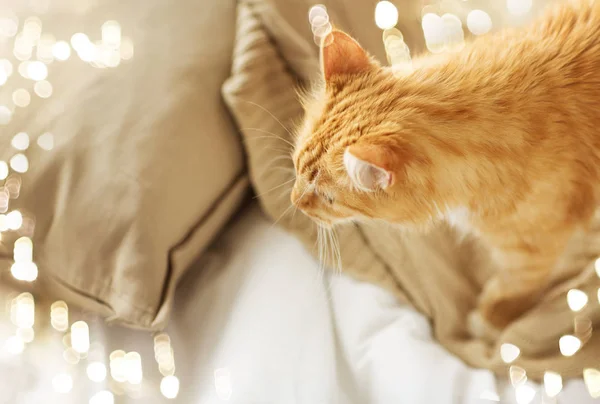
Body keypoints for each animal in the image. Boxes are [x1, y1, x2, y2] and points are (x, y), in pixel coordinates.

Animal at [290, 0, 600, 336]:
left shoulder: (533, 250)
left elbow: (513, 287)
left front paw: (490, 319)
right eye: (295, 166)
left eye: (328, 199)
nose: (295, 202)